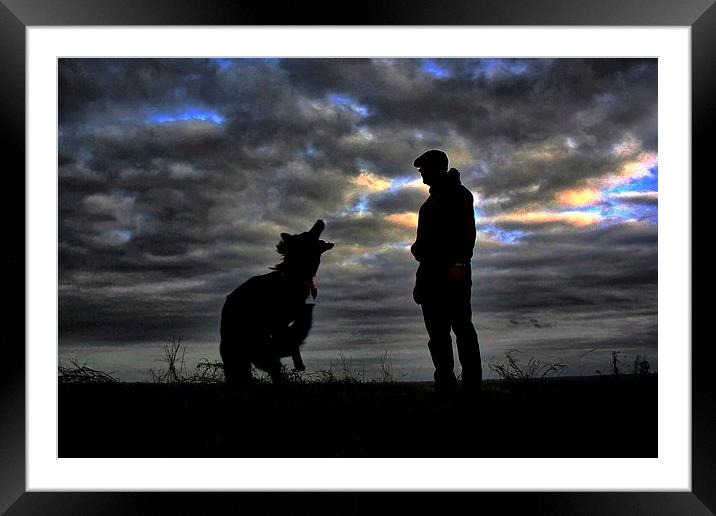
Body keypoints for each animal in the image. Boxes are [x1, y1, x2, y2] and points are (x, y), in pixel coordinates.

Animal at [220, 218, 334, 382]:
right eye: (307, 233)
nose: (319, 220)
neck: (293, 274)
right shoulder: (280, 319)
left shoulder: (285, 321)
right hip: (251, 358)